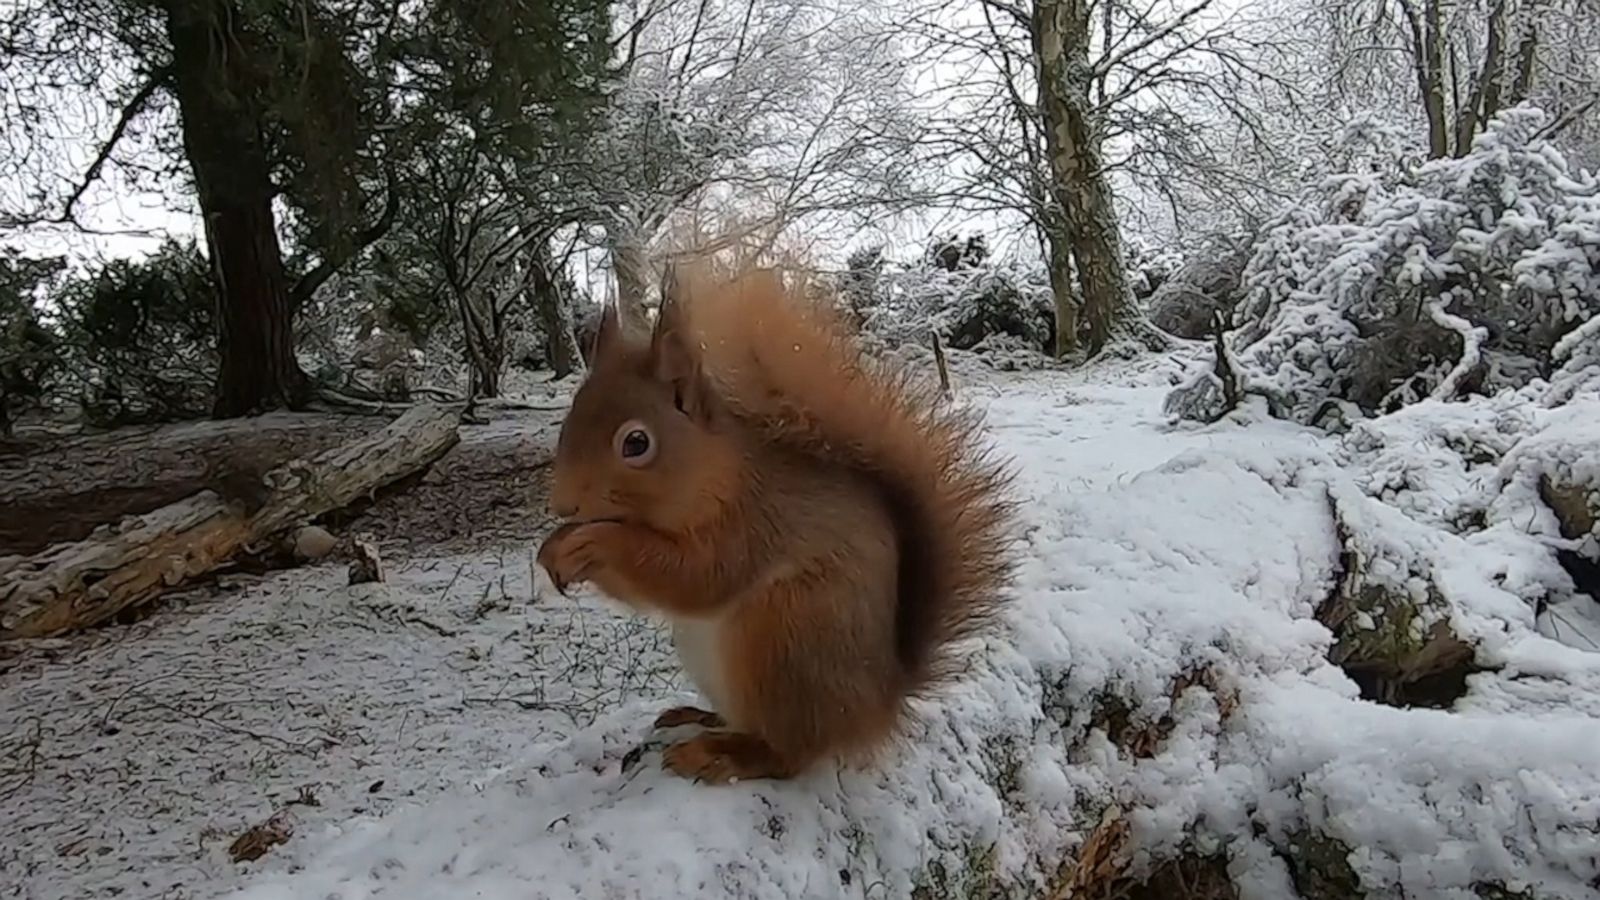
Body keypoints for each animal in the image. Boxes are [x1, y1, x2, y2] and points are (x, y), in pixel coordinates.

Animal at [534, 264, 1011, 778]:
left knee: (790, 754)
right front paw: (553, 549)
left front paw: (593, 544)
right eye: (569, 419)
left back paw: (722, 753)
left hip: (781, 640)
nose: (563, 506)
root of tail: (878, 705)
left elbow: (696, 577)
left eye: (636, 443)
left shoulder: (753, 523)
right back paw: (699, 717)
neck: (715, 472)